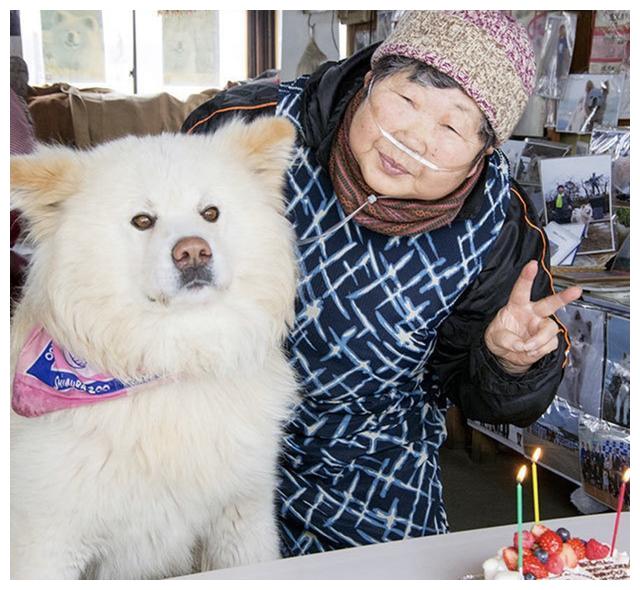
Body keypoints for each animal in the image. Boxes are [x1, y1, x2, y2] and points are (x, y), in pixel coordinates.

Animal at [10, 118, 300, 580]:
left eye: (210, 213)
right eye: (142, 220)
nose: (193, 251)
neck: (173, 359)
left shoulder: (243, 516)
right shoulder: (46, 543)